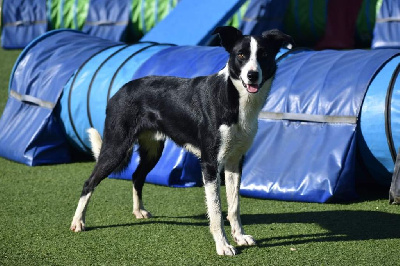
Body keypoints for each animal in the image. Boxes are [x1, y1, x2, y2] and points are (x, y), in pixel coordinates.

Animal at [70, 26, 292, 256]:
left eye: (264, 54)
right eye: (241, 55)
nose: (252, 75)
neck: (234, 97)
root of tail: (119, 92)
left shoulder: (235, 161)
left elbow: (234, 206)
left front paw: (239, 237)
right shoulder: (210, 164)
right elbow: (216, 209)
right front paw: (223, 245)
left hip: (153, 151)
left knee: (137, 176)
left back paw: (138, 211)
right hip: (116, 148)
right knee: (89, 182)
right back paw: (78, 222)